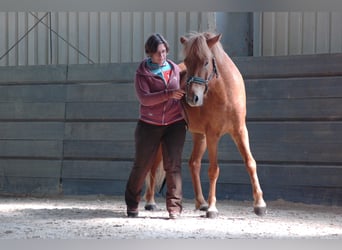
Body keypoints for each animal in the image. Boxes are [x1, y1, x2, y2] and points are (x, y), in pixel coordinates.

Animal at [143, 32, 266, 218]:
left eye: (206, 61)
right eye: (187, 61)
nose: (192, 98)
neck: (225, 94)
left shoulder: (240, 131)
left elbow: (250, 163)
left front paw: (259, 204)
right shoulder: (213, 134)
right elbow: (214, 170)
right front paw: (212, 208)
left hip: (199, 136)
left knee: (193, 163)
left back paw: (201, 202)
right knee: (153, 166)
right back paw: (150, 202)